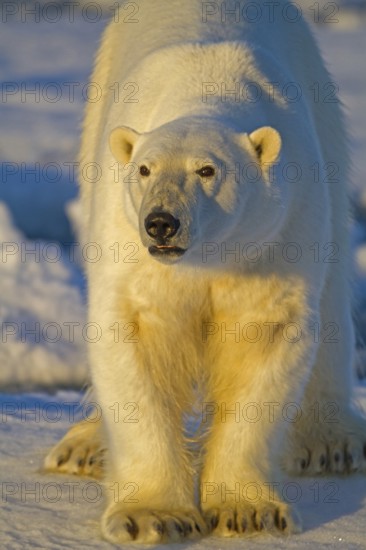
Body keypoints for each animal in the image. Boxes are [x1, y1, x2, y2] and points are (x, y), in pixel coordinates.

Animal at [43, 0, 366, 544]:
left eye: (207, 170)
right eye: (145, 169)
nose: (161, 222)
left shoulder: (273, 236)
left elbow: (263, 337)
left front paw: (248, 512)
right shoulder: (131, 247)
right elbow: (135, 337)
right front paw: (153, 516)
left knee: (335, 282)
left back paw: (333, 443)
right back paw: (82, 447)